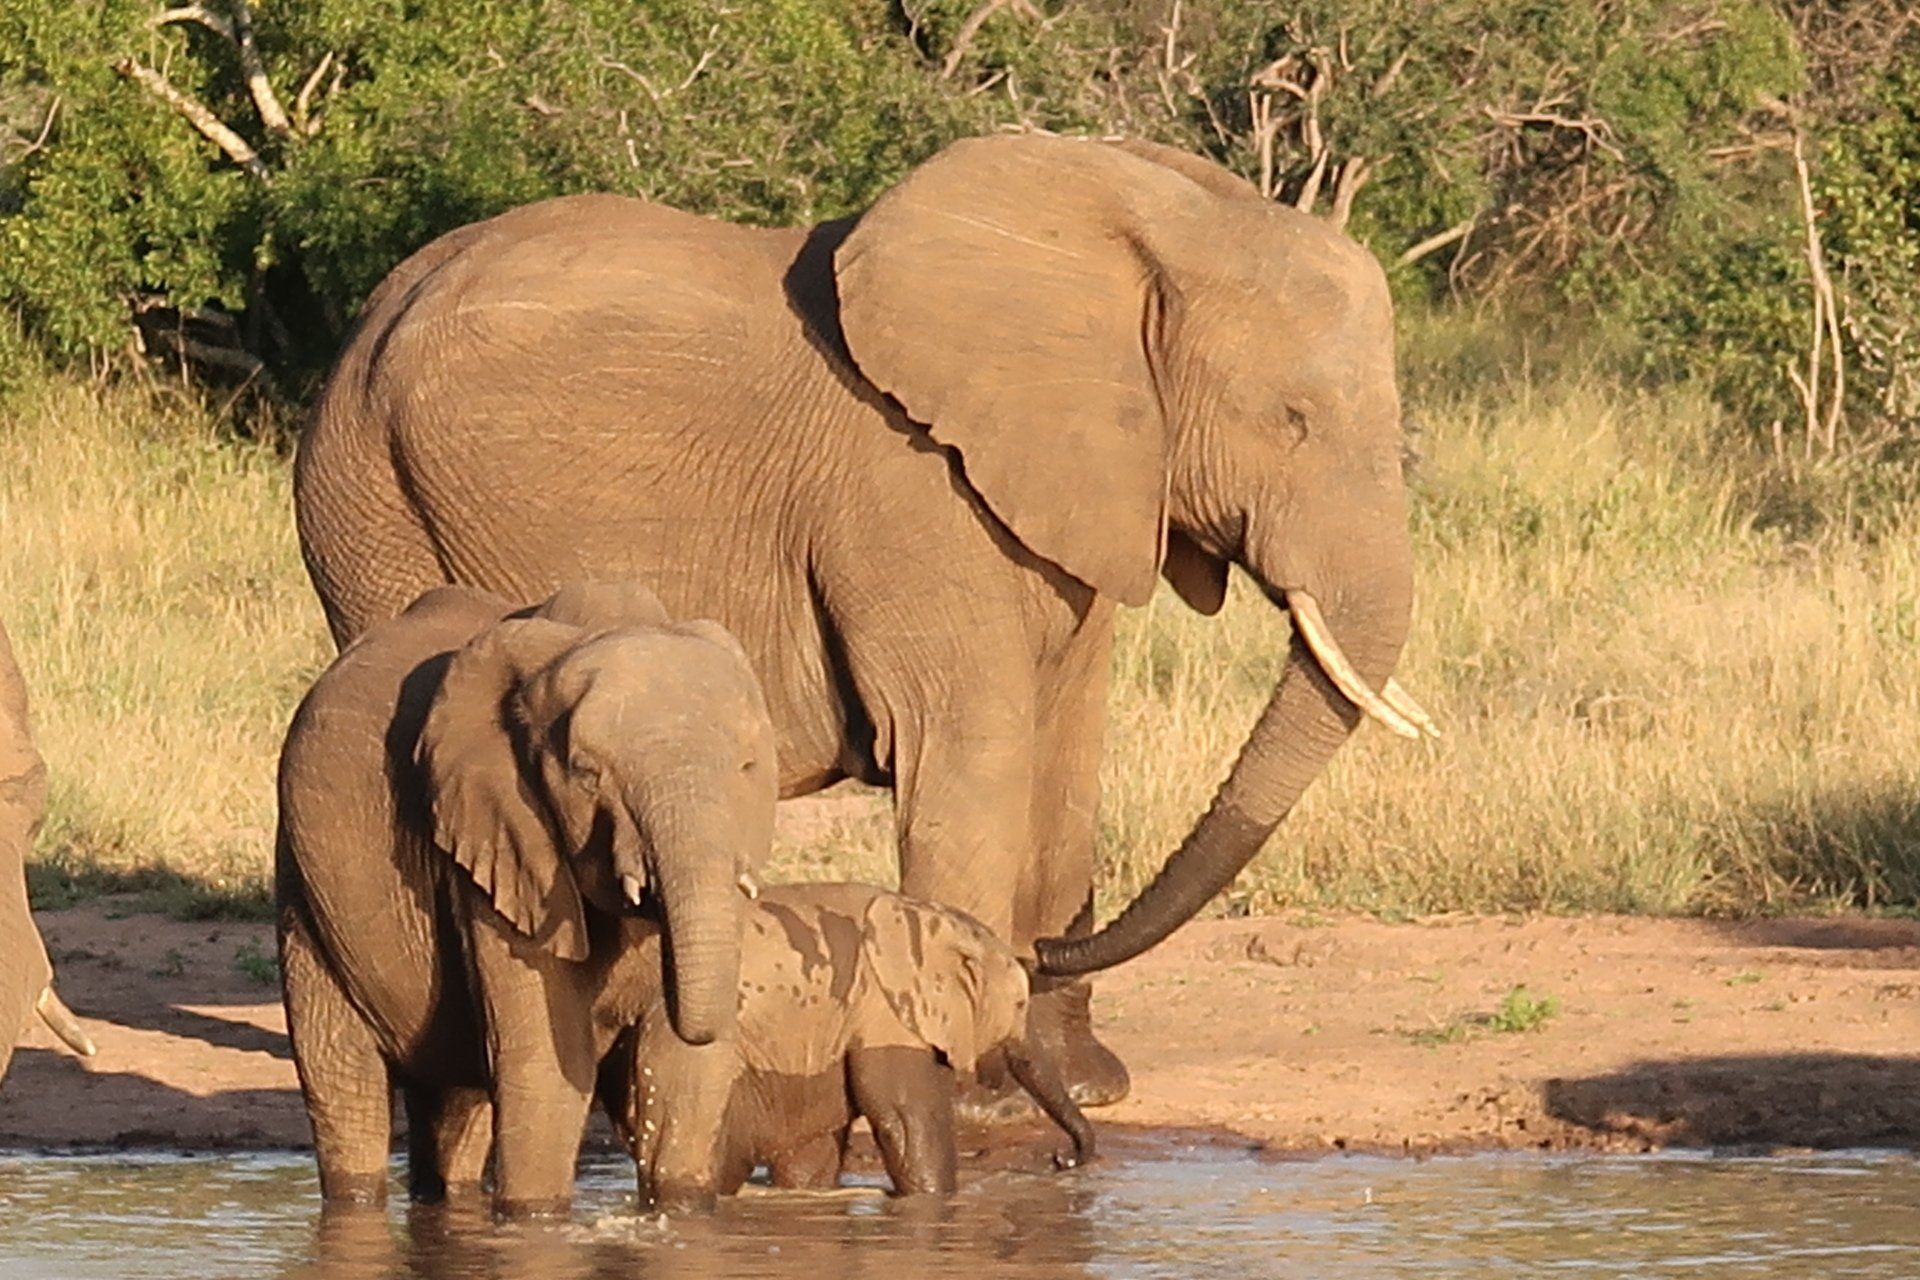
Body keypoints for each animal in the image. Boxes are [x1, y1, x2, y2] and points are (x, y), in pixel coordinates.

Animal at [275, 581, 776, 1214]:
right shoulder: (500, 845)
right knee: (343, 1077)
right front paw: (531, 1220)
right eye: (587, 775)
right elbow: (547, 1070)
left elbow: (683, 1071)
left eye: (747, 766)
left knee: (455, 1105)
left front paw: (677, 1213)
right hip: (303, 892)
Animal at [294, 132, 1435, 1106]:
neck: (1130, 225)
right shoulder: (907, 488)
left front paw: (1086, 1085)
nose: (1044, 951)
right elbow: (976, 756)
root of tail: (362, 322)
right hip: (371, 500)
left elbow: (1068, 759)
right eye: (1291, 420)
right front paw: (986, 1091)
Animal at [610, 882, 1093, 1207]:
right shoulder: (884, 1010)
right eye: (1021, 1004)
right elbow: (907, 1119)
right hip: (688, 1067)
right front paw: (931, 1203)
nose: (1062, 1159)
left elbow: (815, 1151)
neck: (928, 919)